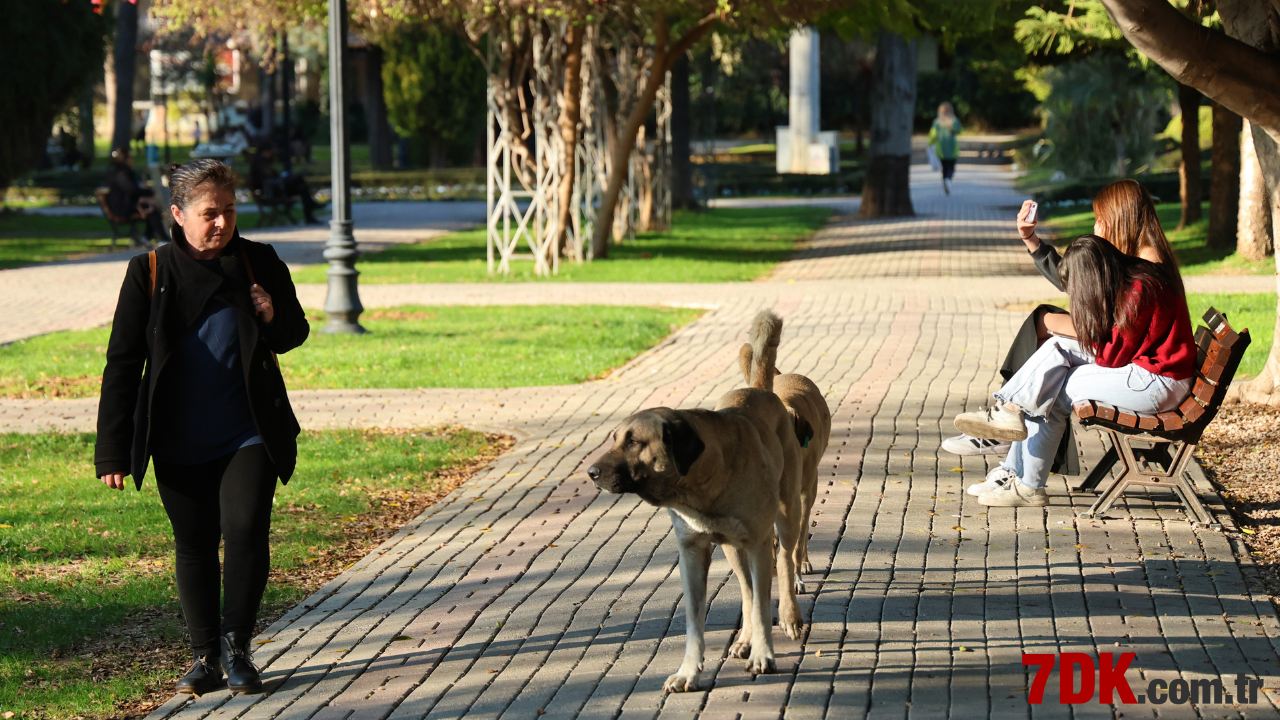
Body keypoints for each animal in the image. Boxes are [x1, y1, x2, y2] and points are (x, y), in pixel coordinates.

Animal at [737, 308, 834, 584]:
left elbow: (798, 539)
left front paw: (796, 571)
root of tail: (783, 376)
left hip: (810, 490)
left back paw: (802, 562)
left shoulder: (802, 495)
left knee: (803, 531)